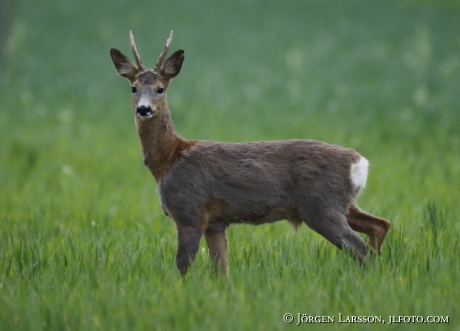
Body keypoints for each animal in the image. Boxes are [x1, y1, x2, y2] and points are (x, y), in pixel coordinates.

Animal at [108, 31, 392, 276]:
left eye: (160, 88)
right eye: (133, 88)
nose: (144, 109)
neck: (169, 160)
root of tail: (359, 163)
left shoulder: (189, 211)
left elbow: (182, 268)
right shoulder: (215, 223)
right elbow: (221, 271)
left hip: (322, 206)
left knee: (361, 249)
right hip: (341, 204)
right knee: (380, 225)